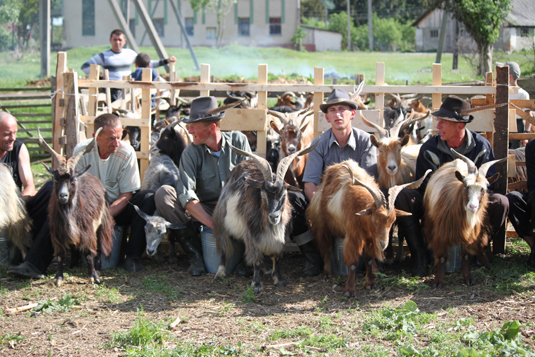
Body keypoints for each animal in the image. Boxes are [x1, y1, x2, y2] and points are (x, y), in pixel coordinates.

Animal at [214, 140, 318, 290]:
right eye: (263, 195)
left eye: (284, 195)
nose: (274, 217)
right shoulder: (252, 234)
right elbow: (256, 259)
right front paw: (256, 284)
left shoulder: (281, 236)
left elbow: (276, 258)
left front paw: (278, 278)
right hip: (221, 220)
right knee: (223, 245)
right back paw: (220, 272)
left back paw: (267, 269)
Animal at [308, 160, 430, 296]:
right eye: (374, 219)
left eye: (392, 221)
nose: (383, 244)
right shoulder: (354, 236)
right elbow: (353, 263)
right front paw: (349, 290)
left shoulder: (371, 238)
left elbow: (369, 259)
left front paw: (370, 283)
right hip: (322, 225)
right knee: (327, 248)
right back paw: (327, 273)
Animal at [426, 149, 504, 286]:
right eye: (466, 186)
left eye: (483, 189)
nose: (472, 206)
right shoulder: (442, 230)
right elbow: (442, 257)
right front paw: (438, 281)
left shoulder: (468, 232)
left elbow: (466, 255)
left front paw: (468, 278)